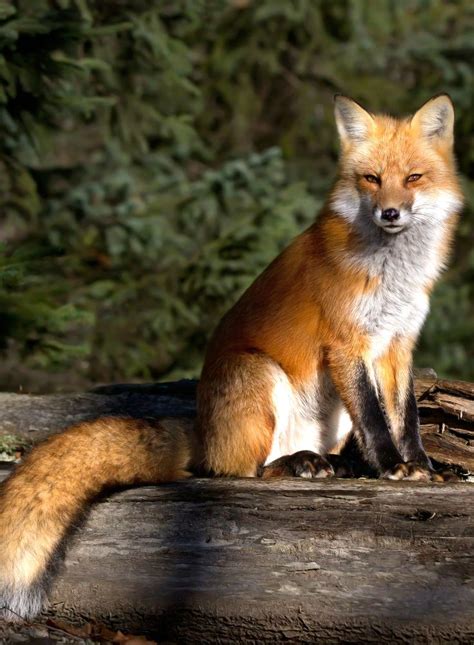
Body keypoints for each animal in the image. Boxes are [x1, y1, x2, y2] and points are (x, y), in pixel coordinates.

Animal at [0, 94, 462, 620]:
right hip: (257, 373)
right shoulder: (347, 344)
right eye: (371, 178)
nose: (389, 213)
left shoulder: (398, 346)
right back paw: (298, 465)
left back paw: (330, 463)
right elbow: (376, 420)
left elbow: (406, 418)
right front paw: (390, 467)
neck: (392, 274)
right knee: (241, 470)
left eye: (413, 178)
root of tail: (203, 428)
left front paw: (423, 467)